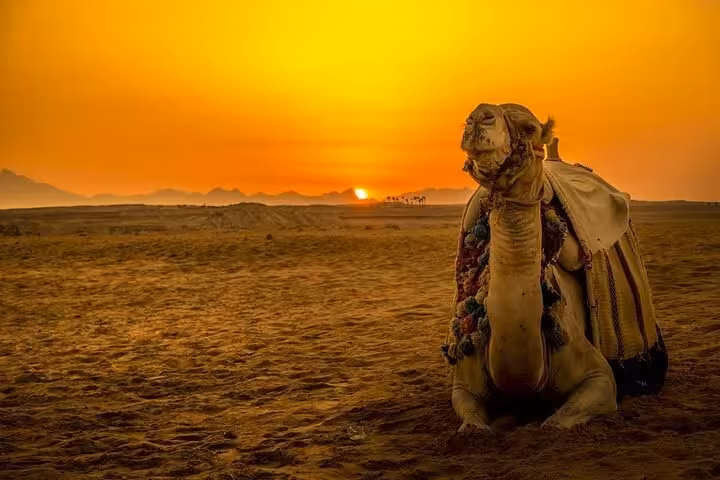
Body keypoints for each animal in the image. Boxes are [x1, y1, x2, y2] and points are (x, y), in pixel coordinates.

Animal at [445, 103, 667, 431]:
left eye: (529, 128)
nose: (479, 116)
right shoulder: (463, 385)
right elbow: (472, 427)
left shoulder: (599, 377)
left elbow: (553, 424)